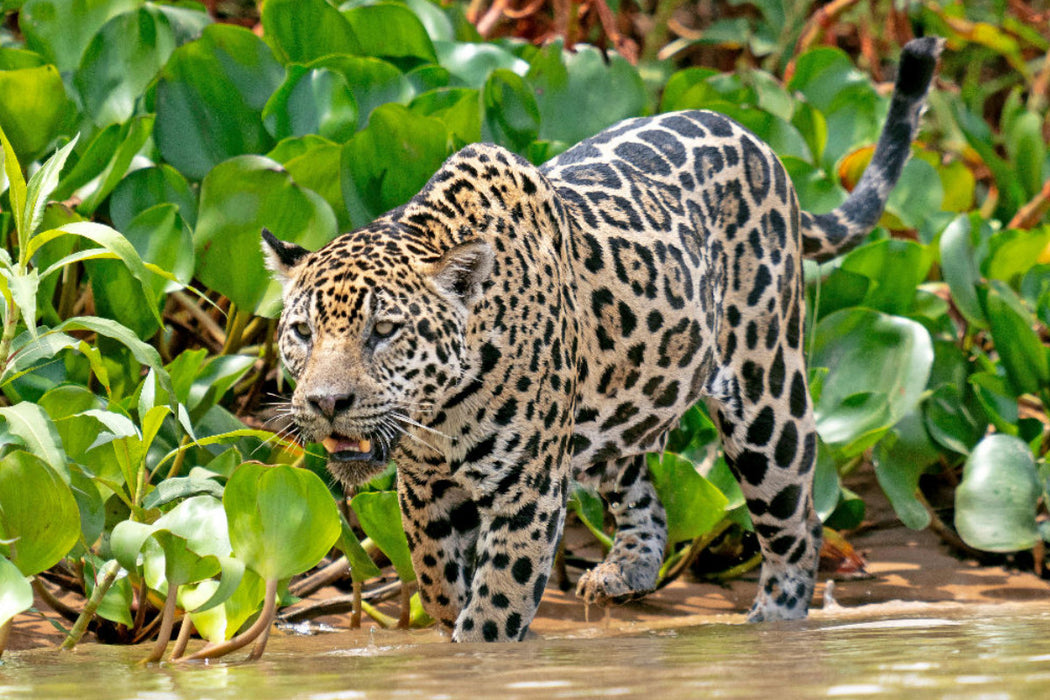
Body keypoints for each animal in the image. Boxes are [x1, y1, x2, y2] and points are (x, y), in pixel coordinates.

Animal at [263, 37, 942, 642]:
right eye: (303, 332)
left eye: (384, 331)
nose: (326, 403)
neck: (443, 410)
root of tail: (751, 134)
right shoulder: (425, 489)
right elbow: (435, 583)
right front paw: (452, 625)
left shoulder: (527, 492)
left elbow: (494, 607)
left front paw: (482, 644)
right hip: (612, 411)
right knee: (647, 494)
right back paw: (625, 573)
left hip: (768, 403)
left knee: (796, 529)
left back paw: (772, 624)